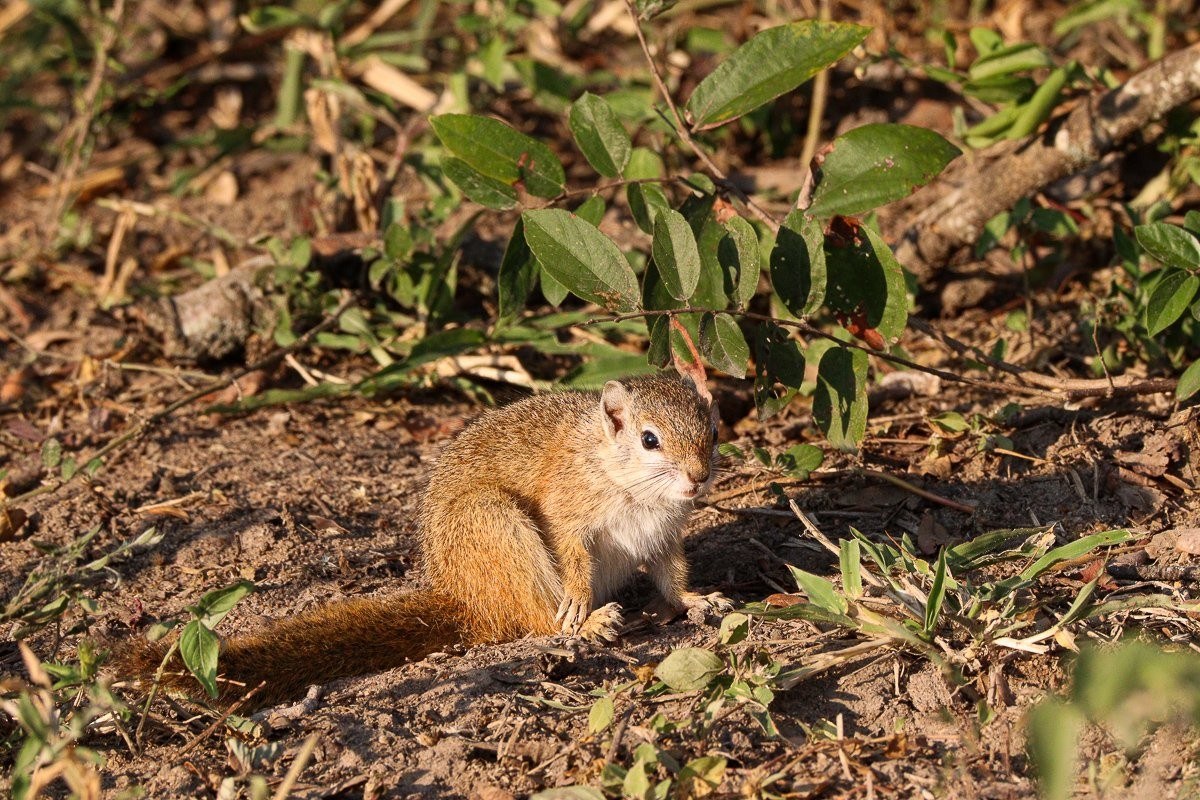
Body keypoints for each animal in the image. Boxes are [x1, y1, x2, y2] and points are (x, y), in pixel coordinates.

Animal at [113, 373, 727, 707]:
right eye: (649, 440)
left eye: (714, 429)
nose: (699, 477)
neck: (630, 485)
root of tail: (466, 602)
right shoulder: (567, 510)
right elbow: (572, 556)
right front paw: (580, 604)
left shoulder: (663, 535)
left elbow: (672, 574)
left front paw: (696, 600)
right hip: (495, 527)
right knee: (532, 616)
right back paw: (589, 622)